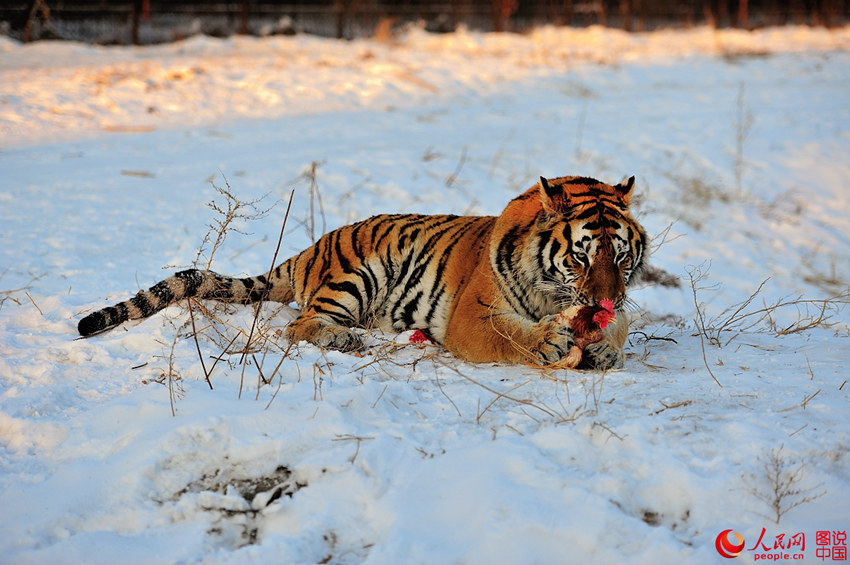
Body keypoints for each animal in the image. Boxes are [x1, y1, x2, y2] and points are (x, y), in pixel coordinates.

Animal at [79, 176, 644, 370]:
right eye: (579, 257)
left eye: (620, 257)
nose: (604, 300)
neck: (554, 296)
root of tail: (311, 247)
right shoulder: (473, 316)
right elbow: (510, 334)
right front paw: (548, 342)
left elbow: (619, 328)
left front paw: (605, 347)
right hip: (358, 275)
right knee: (298, 325)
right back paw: (346, 340)